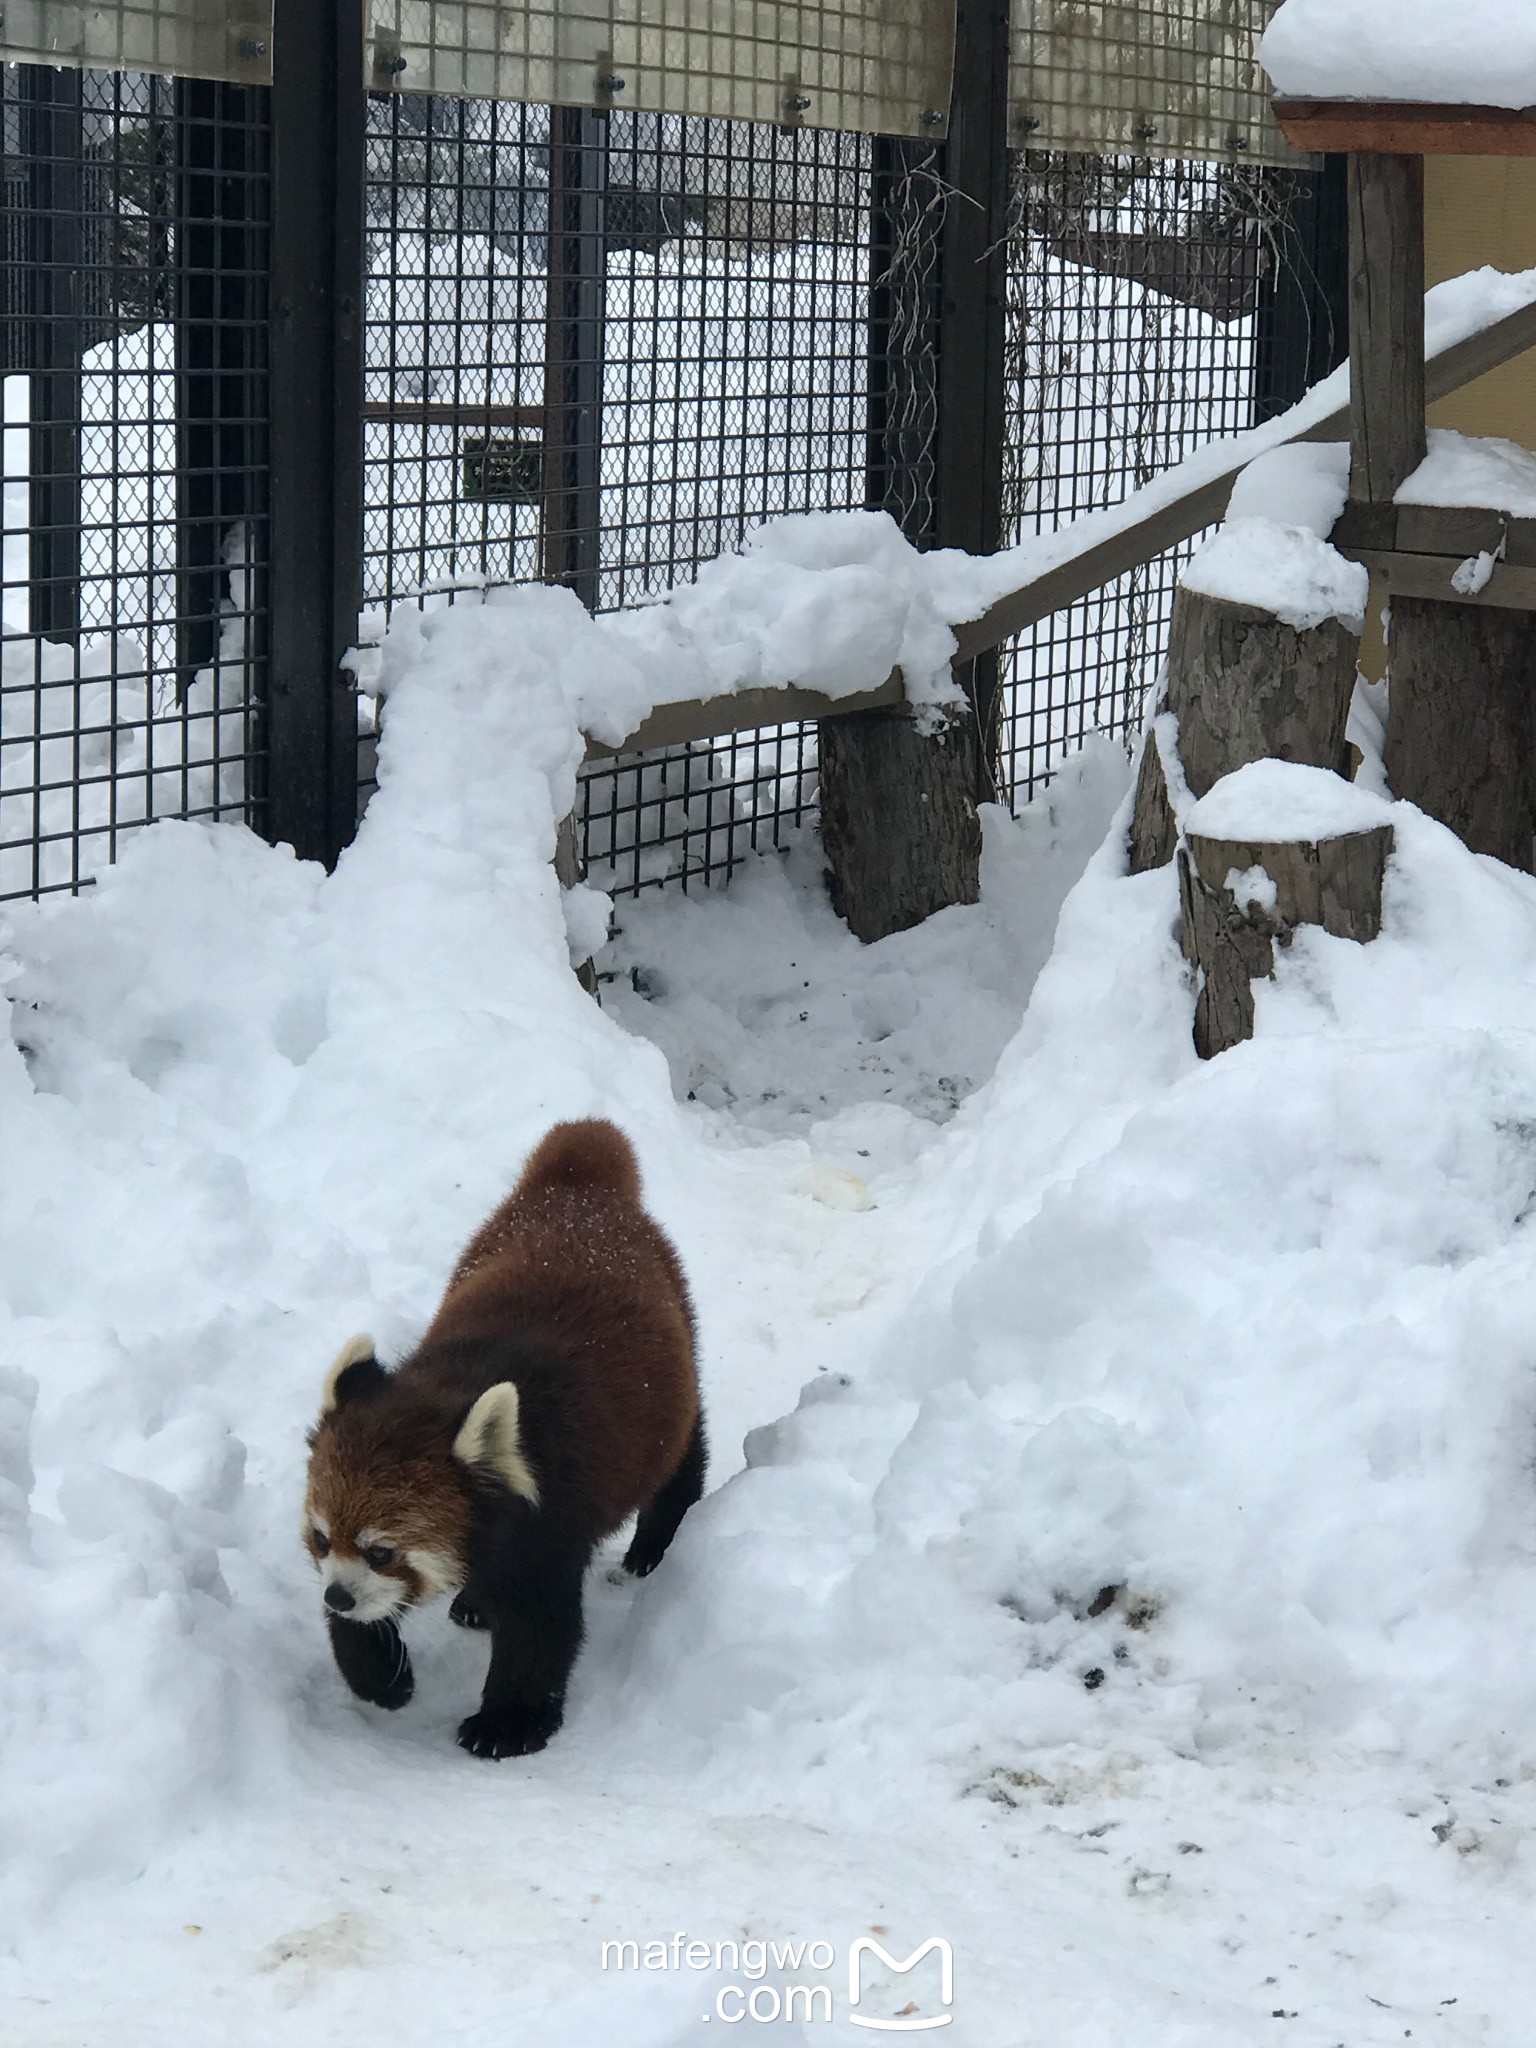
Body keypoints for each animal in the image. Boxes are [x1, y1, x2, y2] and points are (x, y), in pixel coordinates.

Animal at [303, 1122, 708, 1761]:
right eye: (320, 1539)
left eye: (382, 1551)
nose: (337, 1597)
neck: (452, 1386)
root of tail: (579, 1192)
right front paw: (379, 1675)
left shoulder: (554, 1511)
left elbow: (540, 1629)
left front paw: (507, 1724)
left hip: (677, 1362)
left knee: (682, 1459)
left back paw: (652, 1546)